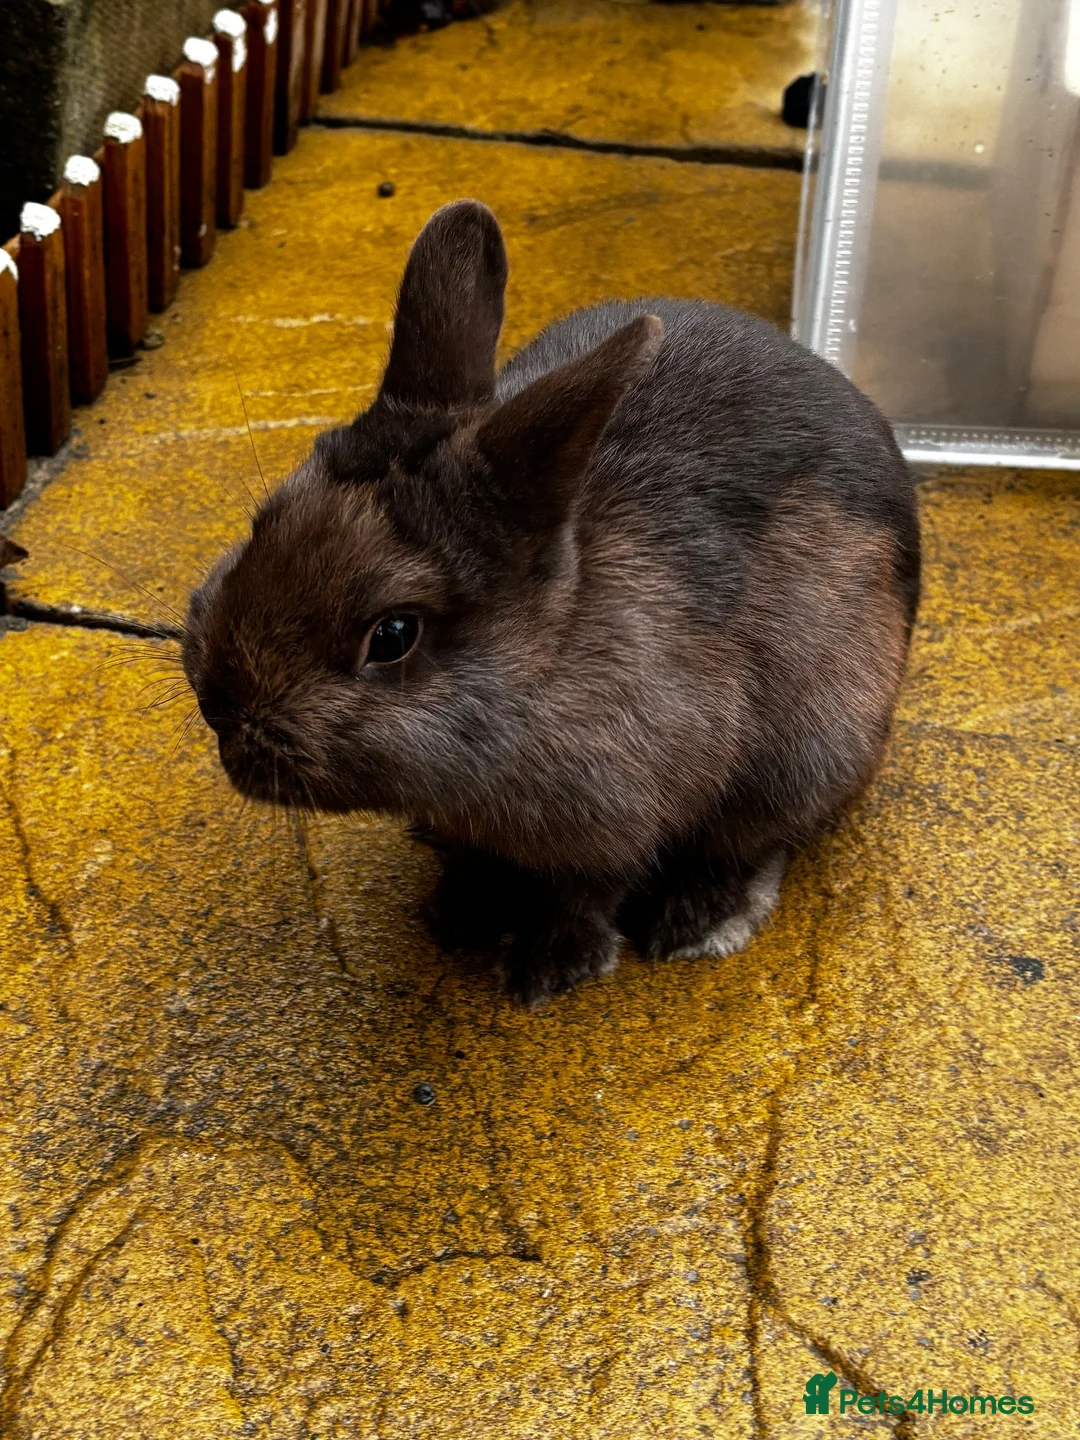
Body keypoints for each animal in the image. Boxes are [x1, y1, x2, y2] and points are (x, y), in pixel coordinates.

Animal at [182, 199, 920, 1005]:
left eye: (394, 634)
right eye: (264, 523)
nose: (221, 708)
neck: (545, 667)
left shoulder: (618, 820)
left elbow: (587, 890)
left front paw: (545, 972)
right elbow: (477, 864)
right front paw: (457, 918)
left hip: (815, 749)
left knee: (753, 842)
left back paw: (695, 926)